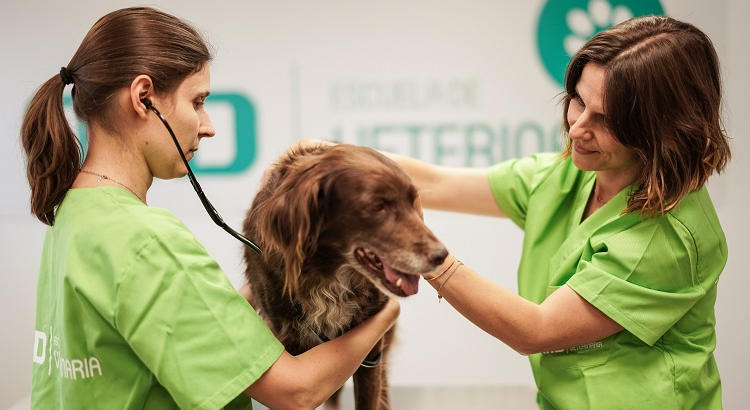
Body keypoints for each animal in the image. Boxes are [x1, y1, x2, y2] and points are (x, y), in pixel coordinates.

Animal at [244, 144, 450, 410]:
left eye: (413, 201)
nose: (441, 255)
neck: (327, 277)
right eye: (378, 206)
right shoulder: (291, 347)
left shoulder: (371, 353)